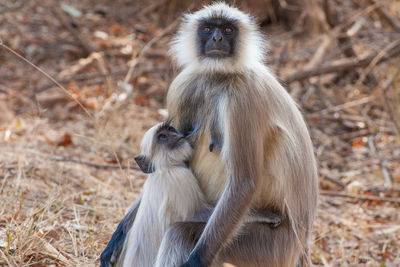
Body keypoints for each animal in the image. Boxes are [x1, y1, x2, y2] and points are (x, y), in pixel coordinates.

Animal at [117, 122, 282, 266]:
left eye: (170, 130)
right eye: (162, 137)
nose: (174, 134)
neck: (164, 169)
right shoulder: (180, 177)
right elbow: (200, 214)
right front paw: (264, 214)